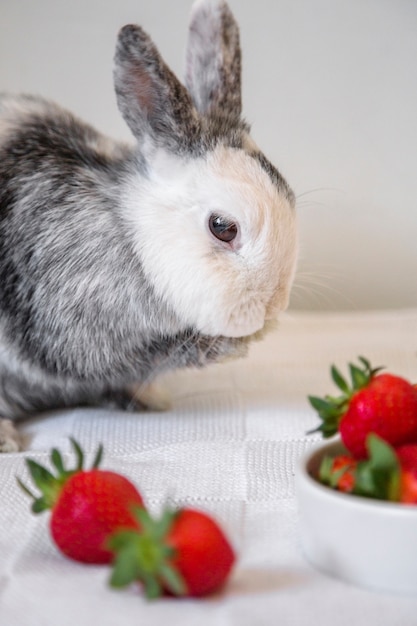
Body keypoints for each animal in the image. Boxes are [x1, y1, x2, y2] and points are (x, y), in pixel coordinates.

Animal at [0, 0, 298, 450]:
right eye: (222, 227)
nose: (272, 306)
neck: (131, 234)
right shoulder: (77, 337)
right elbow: (150, 355)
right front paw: (233, 345)